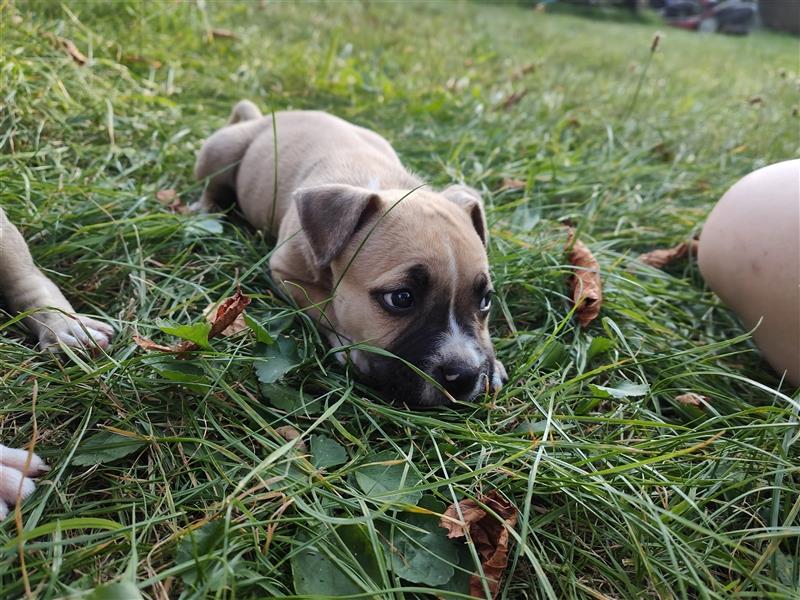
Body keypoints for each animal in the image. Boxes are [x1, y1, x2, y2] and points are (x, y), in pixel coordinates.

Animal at [195, 101, 506, 406]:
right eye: (401, 298)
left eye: (485, 300)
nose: (465, 375)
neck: (381, 183)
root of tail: (262, 117)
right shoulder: (286, 274)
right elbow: (324, 307)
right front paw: (351, 348)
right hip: (220, 152)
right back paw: (204, 210)